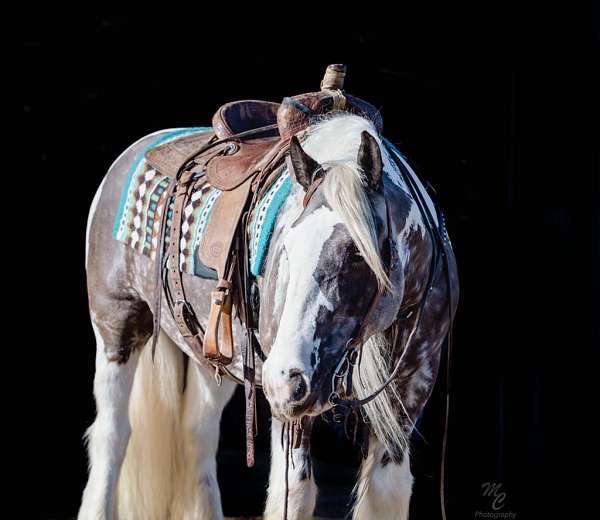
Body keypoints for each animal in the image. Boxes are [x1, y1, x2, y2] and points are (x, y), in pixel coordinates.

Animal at [77, 114, 458, 520]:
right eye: (286, 247)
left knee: (198, 435)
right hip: (116, 326)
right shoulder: (293, 411)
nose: (283, 381)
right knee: (112, 434)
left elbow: (386, 493)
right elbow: (295, 493)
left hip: (214, 357)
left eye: (356, 253)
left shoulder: (410, 388)